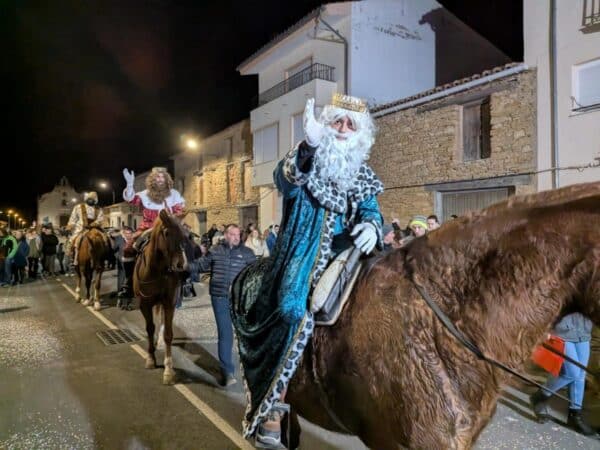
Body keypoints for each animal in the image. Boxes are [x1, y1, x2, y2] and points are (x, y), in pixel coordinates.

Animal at [135, 209, 189, 384]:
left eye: (184, 234)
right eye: (166, 233)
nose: (181, 265)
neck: (155, 270)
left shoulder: (169, 302)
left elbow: (168, 335)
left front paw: (168, 370)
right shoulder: (144, 304)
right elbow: (149, 328)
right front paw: (150, 359)